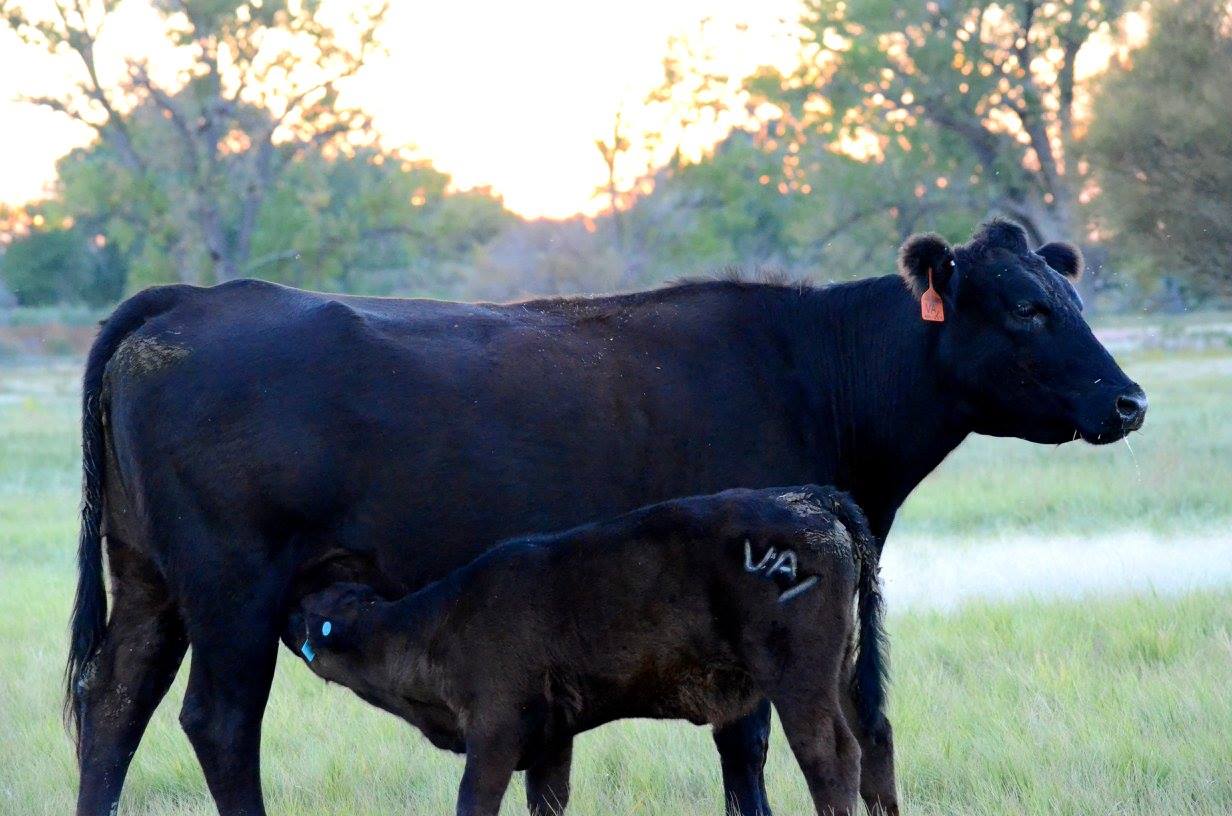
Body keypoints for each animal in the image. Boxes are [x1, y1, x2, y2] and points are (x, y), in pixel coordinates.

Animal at [288, 485, 884, 816]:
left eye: (315, 611)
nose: (288, 607)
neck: (441, 626)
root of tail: (808, 498)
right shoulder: (552, 738)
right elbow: (549, 800)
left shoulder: (496, 729)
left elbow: (474, 800)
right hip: (844, 670)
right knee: (873, 736)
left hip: (799, 676)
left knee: (832, 754)